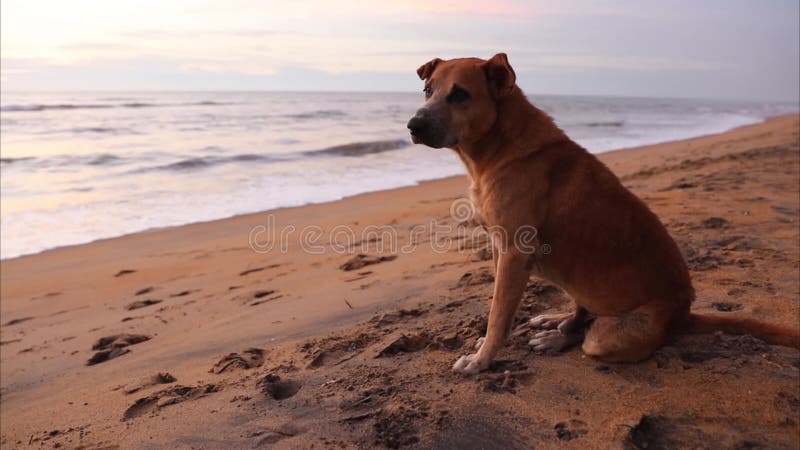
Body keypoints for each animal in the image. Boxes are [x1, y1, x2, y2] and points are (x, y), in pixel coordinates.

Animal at [406, 52, 800, 374]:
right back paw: (556, 324)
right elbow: (499, 309)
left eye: (460, 94)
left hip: (611, 333)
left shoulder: (514, 254)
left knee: (589, 335)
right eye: (427, 90)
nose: (413, 125)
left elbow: (498, 315)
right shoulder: (501, 249)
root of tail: (683, 315)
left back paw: (561, 336)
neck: (497, 147)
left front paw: (482, 360)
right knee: (581, 313)